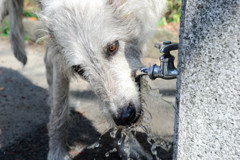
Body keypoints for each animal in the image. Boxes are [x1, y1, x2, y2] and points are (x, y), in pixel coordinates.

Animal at [0, 0, 165, 159]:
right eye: (78, 69)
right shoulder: (61, 62)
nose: (124, 117)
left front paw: (127, 146)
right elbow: (59, 113)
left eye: (112, 47)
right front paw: (57, 153)